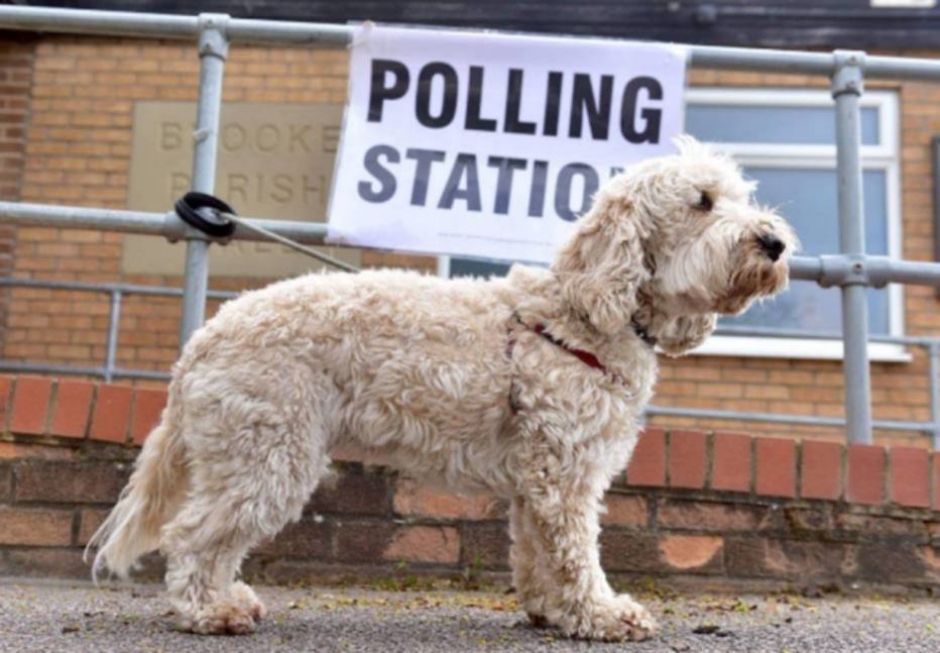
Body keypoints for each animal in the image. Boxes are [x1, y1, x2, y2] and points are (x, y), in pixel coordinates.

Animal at [88, 135, 792, 640]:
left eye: (738, 194)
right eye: (701, 201)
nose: (774, 241)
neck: (583, 312)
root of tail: (201, 343)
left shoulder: (538, 477)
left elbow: (538, 550)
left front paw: (554, 612)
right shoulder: (566, 473)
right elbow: (574, 550)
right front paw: (602, 614)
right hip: (268, 454)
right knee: (192, 536)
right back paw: (210, 612)